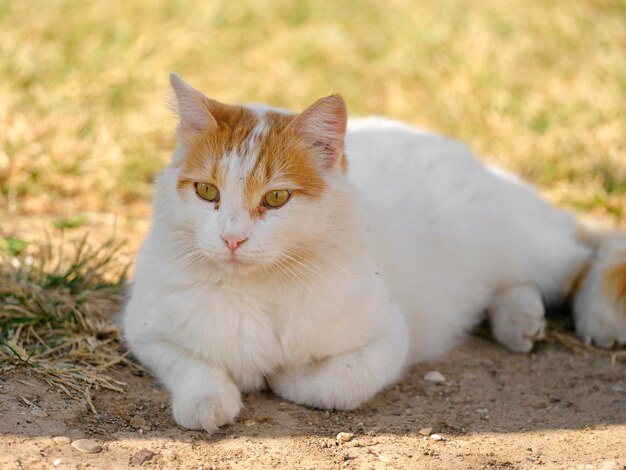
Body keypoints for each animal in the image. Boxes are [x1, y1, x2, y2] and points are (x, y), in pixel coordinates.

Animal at [122, 74, 624, 434]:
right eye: (207, 192)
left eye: (276, 199)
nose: (232, 238)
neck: (259, 289)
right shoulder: (144, 329)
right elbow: (193, 372)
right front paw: (211, 399)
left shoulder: (387, 337)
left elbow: (337, 384)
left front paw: (283, 378)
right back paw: (519, 321)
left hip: (527, 244)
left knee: (587, 251)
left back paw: (594, 316)